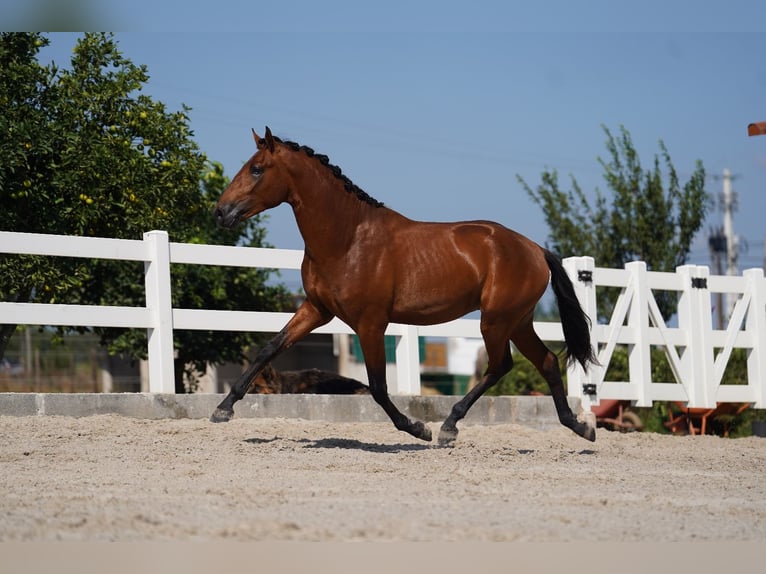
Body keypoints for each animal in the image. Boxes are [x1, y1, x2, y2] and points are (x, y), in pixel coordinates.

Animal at [212, 129, 600, 446]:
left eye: (257, 169)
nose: (220, 212)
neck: (348, 238)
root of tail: (534, 248)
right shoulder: (316, 310)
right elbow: (269, 348)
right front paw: (223, 408)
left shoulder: (370, 323)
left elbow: (378, 386)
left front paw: (417, 428)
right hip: (517, 321)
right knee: (545, 361)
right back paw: (580, 427)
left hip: (496, 320)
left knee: (501, 365)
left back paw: (448, 427)